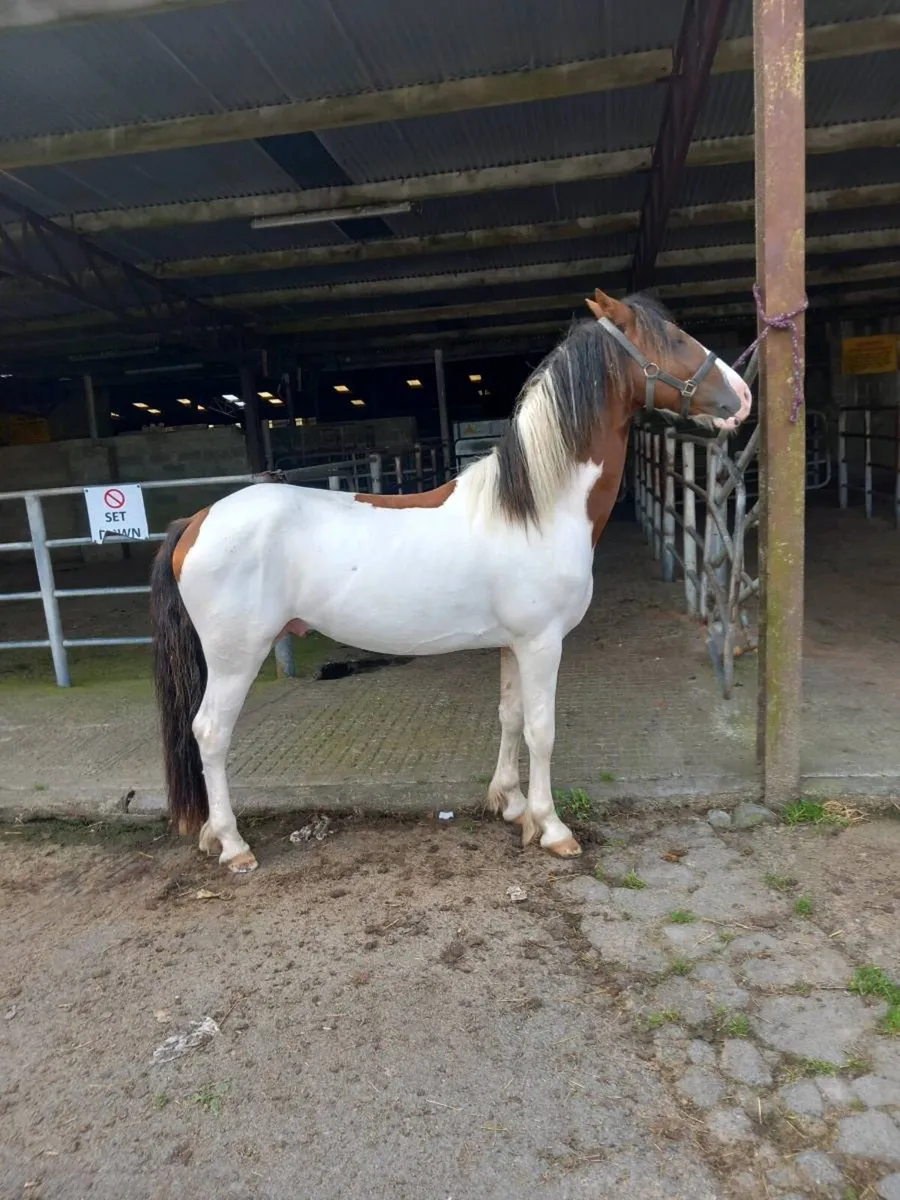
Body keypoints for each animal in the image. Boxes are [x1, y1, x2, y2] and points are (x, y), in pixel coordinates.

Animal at [149, 288, 752, 873]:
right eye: (674, 338)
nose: (742, 397)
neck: (536, 509)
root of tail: (197, 520)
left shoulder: (514, 644)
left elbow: (510, 717)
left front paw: (511, 806)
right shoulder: (542, 643)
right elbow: (542, 730)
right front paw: (552, 828)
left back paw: (210, 834)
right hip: (236, 656)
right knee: (211, 733)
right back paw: (233, 845)